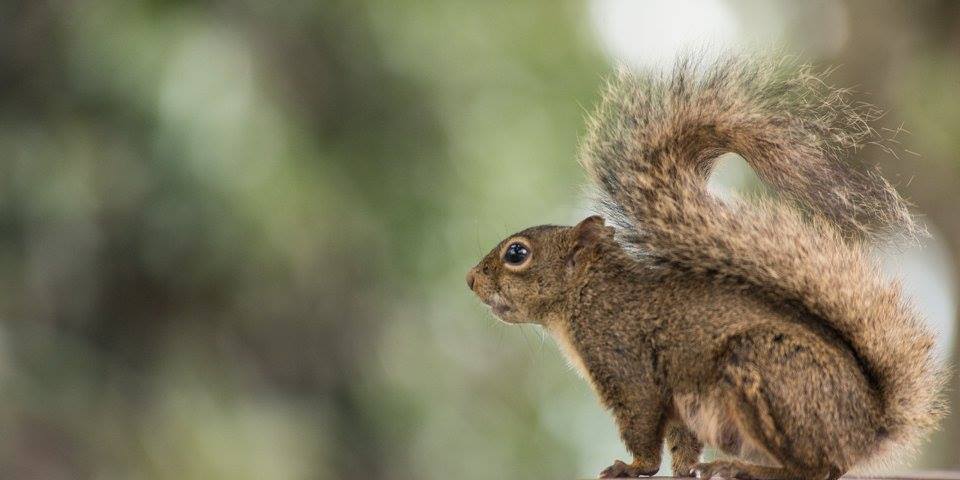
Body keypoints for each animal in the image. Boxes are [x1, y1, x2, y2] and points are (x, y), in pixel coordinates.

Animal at [464, 54, 944, 478]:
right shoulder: (676, 403)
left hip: (766, 370)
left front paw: (632, 467)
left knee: (818, 469)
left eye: (517, 254)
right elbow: (680, 443)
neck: (587, 297)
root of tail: (867, 428)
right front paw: (682, 471)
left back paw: (744, 469)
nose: (470, 280)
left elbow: (643, 430)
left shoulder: (628, 366)